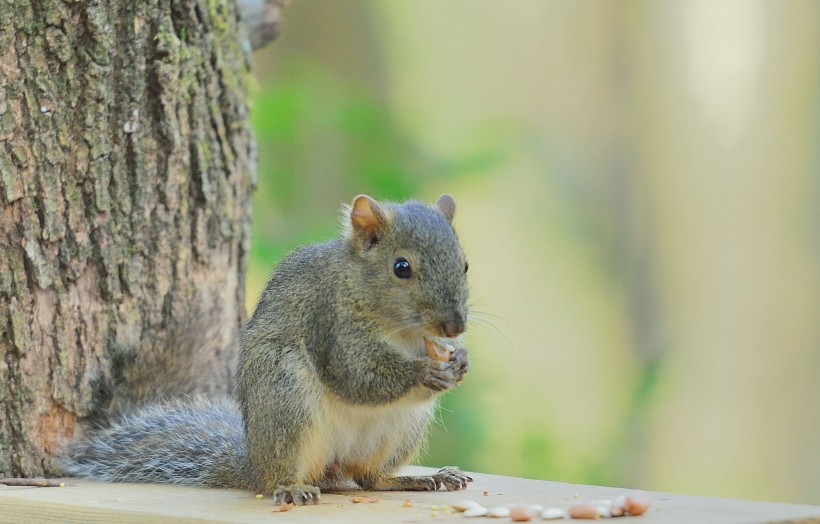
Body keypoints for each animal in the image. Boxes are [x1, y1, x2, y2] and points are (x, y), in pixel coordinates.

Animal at [62, 194, 474, 506]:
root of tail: (253, 463)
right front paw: (424, 372)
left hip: (401, 430)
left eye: (466, 264)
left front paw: (460, 359)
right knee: (285, 474)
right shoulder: (331, 322)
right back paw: (291, 487)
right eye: (401, 267)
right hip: (285, 395)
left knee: (368, 478)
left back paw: (415, 479)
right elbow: (357, 375)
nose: (455, 326)